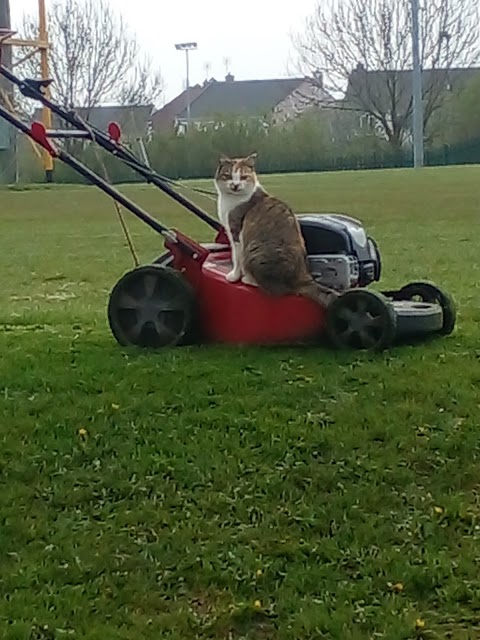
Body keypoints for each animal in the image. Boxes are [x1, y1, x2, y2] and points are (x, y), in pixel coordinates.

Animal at [214, 152, 338, 308]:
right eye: (228, 175)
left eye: (243, 177)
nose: (235, 185)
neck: (231, 200)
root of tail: (302, 277)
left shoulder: (235, 232)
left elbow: (236, 257)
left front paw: (234, 276)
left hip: (254, 251)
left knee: (276, 288)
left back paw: (248, 279)